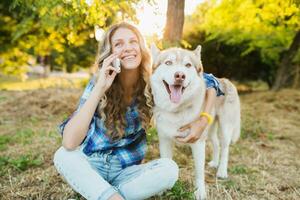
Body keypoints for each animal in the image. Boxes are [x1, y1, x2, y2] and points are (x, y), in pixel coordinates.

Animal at [150, 44, 241, 199]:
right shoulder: (164, 141)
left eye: (188, 65)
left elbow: (199, 172)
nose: (180, 76)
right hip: (209, 130)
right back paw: (214, 163)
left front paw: (200, 192)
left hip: (225, 128)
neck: (177, 111)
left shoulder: (198, 143)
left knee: (225, 148)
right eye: (168, 63)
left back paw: (222, 171)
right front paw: (161, 189)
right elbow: (166, 163)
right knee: (216, 144)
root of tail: (227, 80)